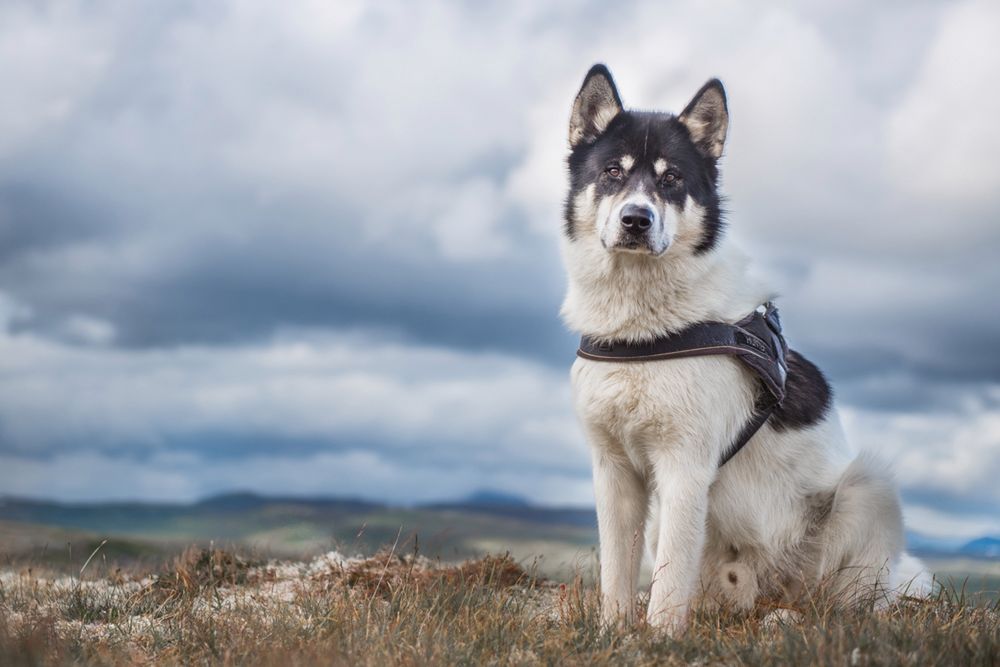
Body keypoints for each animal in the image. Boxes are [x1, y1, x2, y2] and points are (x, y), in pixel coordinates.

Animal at [560, 65, 924, 636]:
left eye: (671, 179)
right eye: (613, 172)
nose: (636, 220)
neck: (645, 331)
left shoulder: (686, 466)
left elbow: (668, 582)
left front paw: (658, 640)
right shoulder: (614, 471)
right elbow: (617, 574)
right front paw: (613, 634)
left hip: (869, 489)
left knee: (838, 602)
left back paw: (792, 617)